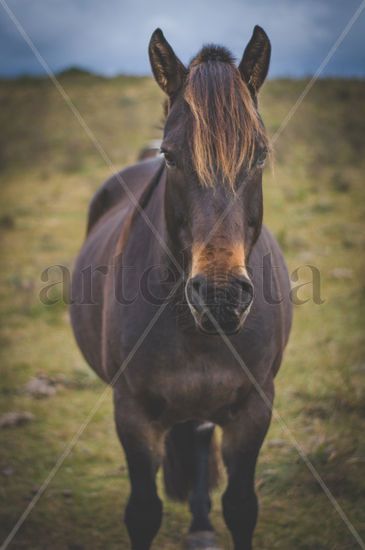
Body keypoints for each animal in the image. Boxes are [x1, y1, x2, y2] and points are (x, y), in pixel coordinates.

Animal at [69, 25, 292, 550]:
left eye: (260, 154)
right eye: (170, 156)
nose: (220, 297)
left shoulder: (253, 409)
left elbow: (242, 507)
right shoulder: (133, 414)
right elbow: (143, 512)